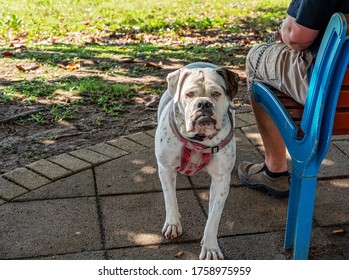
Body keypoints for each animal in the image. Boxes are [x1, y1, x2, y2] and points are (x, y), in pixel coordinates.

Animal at [154, 62, 238, 260]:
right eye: (190, 94)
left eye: (216, 94)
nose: (204, 103)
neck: (199, 140)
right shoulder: (165, 168)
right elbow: (170, 198)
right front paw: (173, 223)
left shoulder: (221, 180)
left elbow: (214, 216)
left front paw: (210, 247)